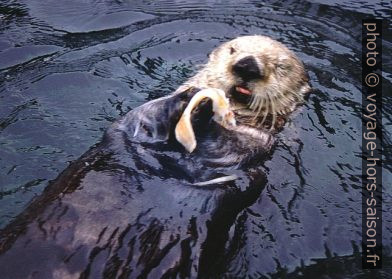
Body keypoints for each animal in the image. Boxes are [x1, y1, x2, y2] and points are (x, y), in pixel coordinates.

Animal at [0, 36, 310, 278]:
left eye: (281, 66)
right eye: (233, 49)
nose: (247, 66)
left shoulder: (253, 153)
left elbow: (245, 160)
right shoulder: (134, 124)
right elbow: (146, 117)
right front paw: (190, 97)